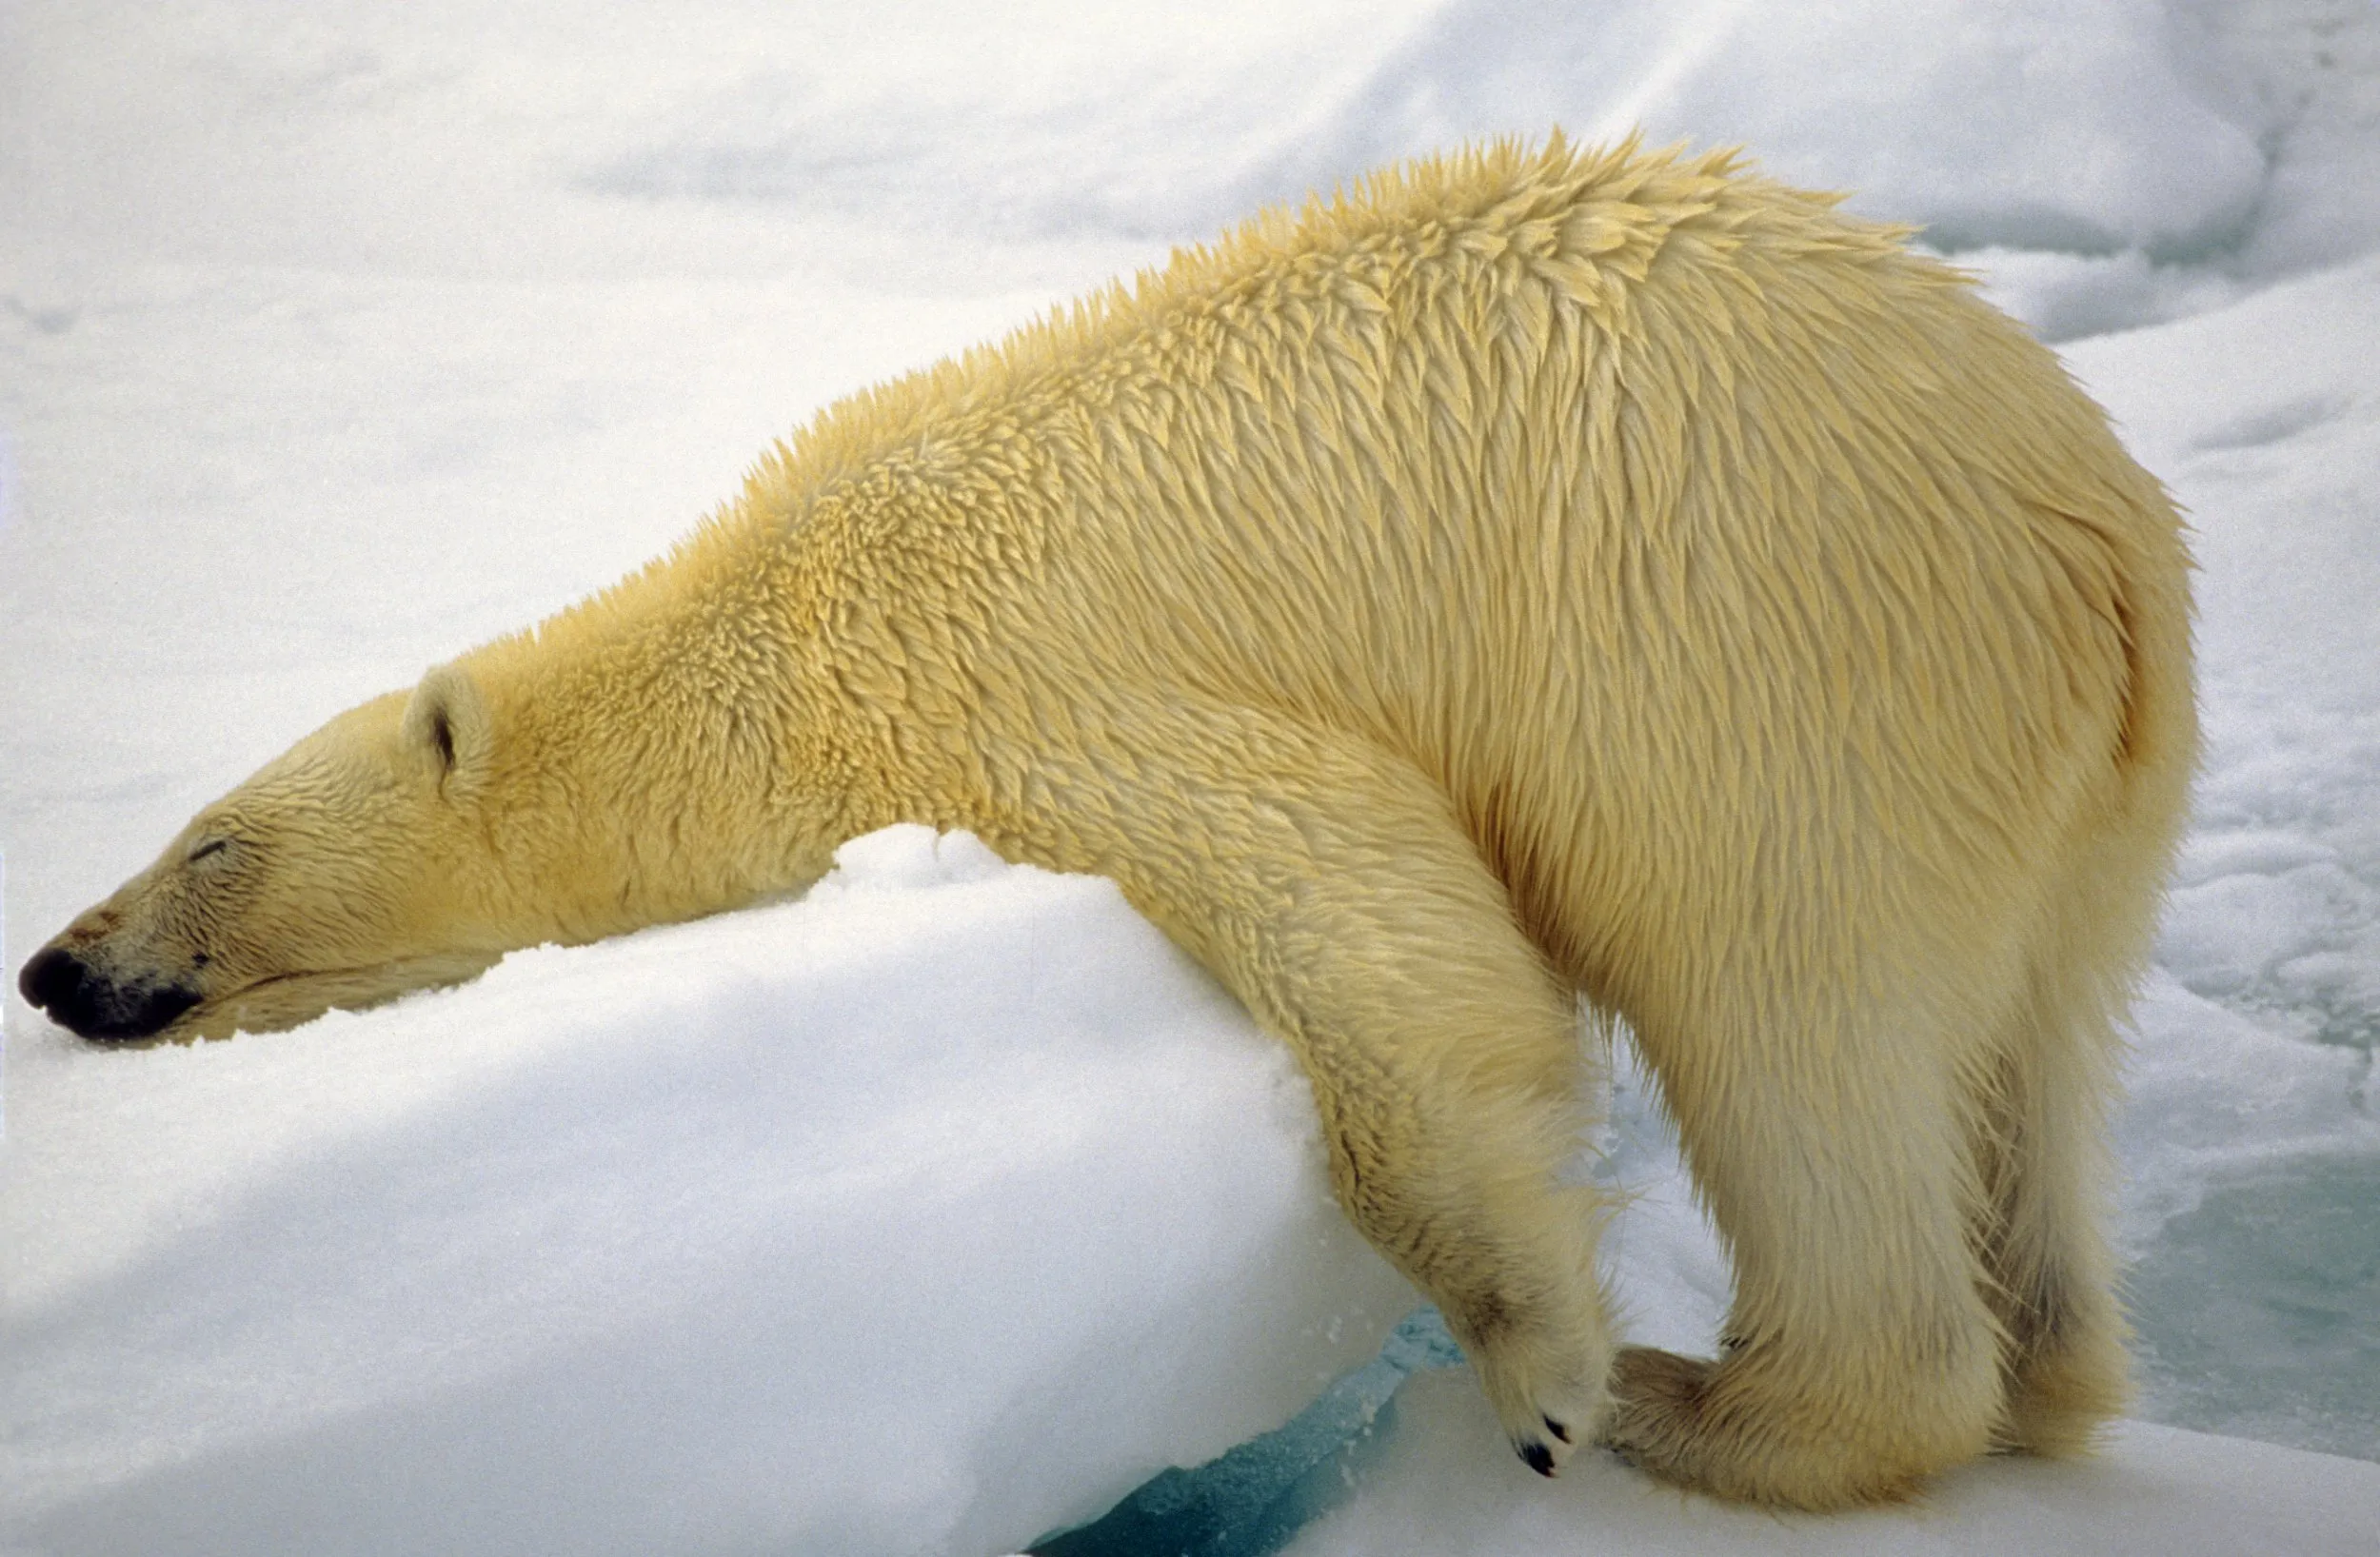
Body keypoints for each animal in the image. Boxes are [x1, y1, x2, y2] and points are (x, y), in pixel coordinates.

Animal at [13, 137, 2190, 1513]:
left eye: (206, 844)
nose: (53, 965)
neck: (769, 625)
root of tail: (2093, 528)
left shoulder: (1011, 684)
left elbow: (1368, 923)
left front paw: (1545, 1370)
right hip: (2079, 784)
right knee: (2036, 1039)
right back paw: (2045, 1365)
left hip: (1766, 671)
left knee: (1787, 1009)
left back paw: (1719, 1409)